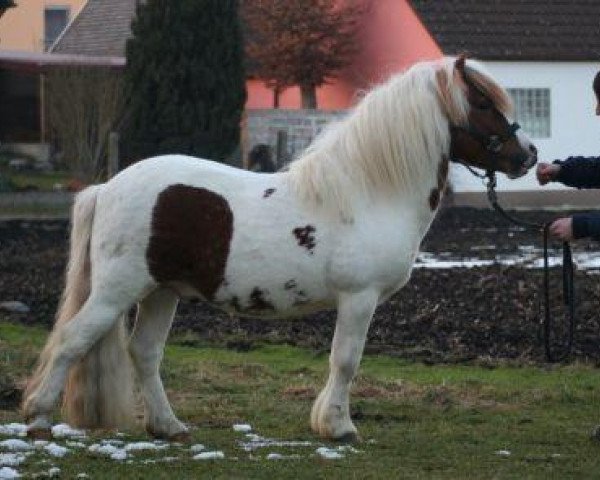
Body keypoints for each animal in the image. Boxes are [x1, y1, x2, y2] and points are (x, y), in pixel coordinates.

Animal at [23, 56, 540, 442]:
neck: (369, 192)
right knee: (73, 340)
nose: (528, 156)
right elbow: (346, 360)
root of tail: (108, 186)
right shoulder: (359, 298)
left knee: (145, 353)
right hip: (119, 288)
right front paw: (338, 427)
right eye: (481, 101)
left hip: (161, 291)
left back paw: (169, 427)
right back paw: (39, 416)